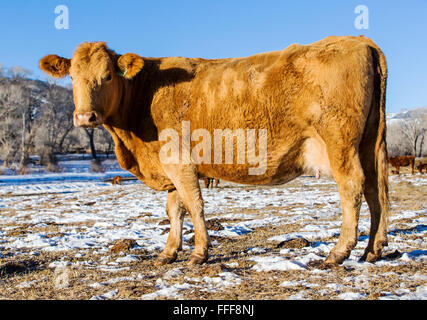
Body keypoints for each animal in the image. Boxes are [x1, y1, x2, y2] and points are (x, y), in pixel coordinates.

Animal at [40, 34, 392, 264]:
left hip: (340, 143)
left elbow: (194, 205)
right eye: (73, 77)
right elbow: (174, 209)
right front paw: (168, 252)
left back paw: (339, 252)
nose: (86, 117)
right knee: (376, 190)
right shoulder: (171, 166)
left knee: (353, 188)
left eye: (108, 75)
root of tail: (357, 40)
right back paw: (372, 249)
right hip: (368, 143)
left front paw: (198, 253)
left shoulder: (179, 160)